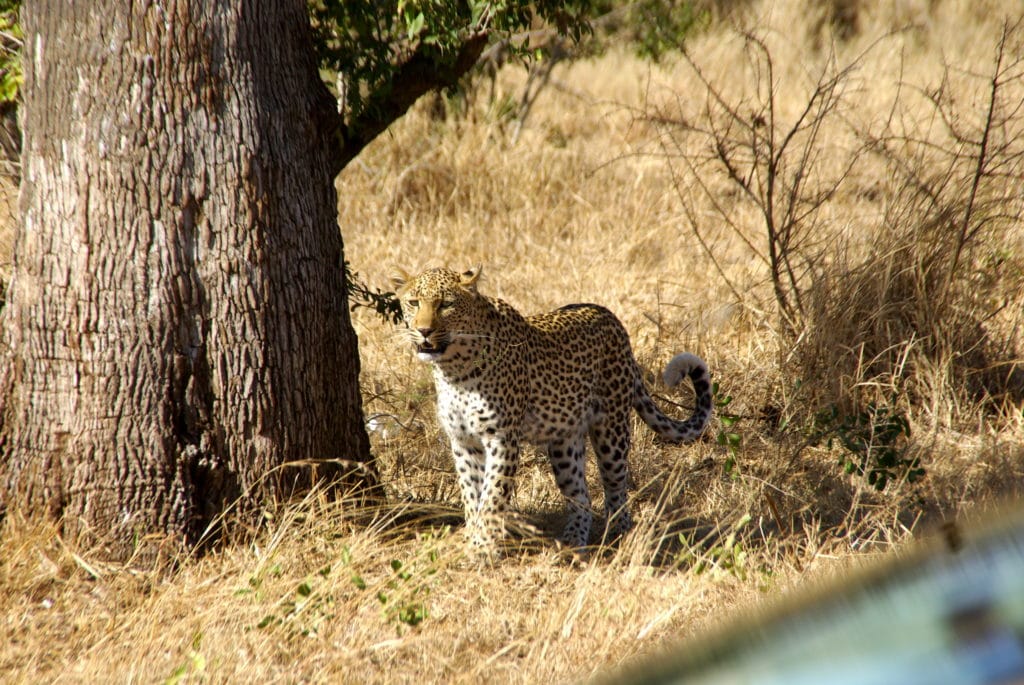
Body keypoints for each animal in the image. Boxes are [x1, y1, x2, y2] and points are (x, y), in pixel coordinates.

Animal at [391, 264, 712, 548]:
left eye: (446, 305)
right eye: (413, 302)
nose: (424, 331)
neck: (454, 370)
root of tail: (609, 316)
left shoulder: (502, 438)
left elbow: (493, 496)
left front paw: (485, 547)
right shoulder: (463, 441)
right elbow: (472, 496)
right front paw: (473, 539)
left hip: (612, 430)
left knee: (616, 487)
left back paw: (620, 534)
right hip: (564, 442)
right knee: (581, 496)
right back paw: (572, 544)